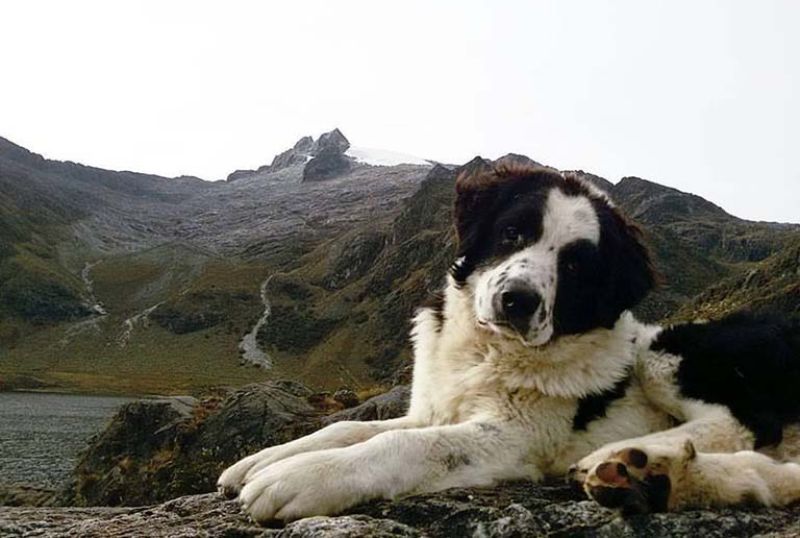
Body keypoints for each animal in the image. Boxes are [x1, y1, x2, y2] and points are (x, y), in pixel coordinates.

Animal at [217, 162, 800, 520]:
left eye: (575, 265)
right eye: (513, 233)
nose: (517, 300)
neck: (487, 350)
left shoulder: (511, 436)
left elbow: (403, 444)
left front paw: (300, 477)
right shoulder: (434, 407)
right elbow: (347, 427)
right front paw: (263, 460)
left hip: (668, 350)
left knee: (739, 424)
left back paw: (630, 458)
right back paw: (659, 477)